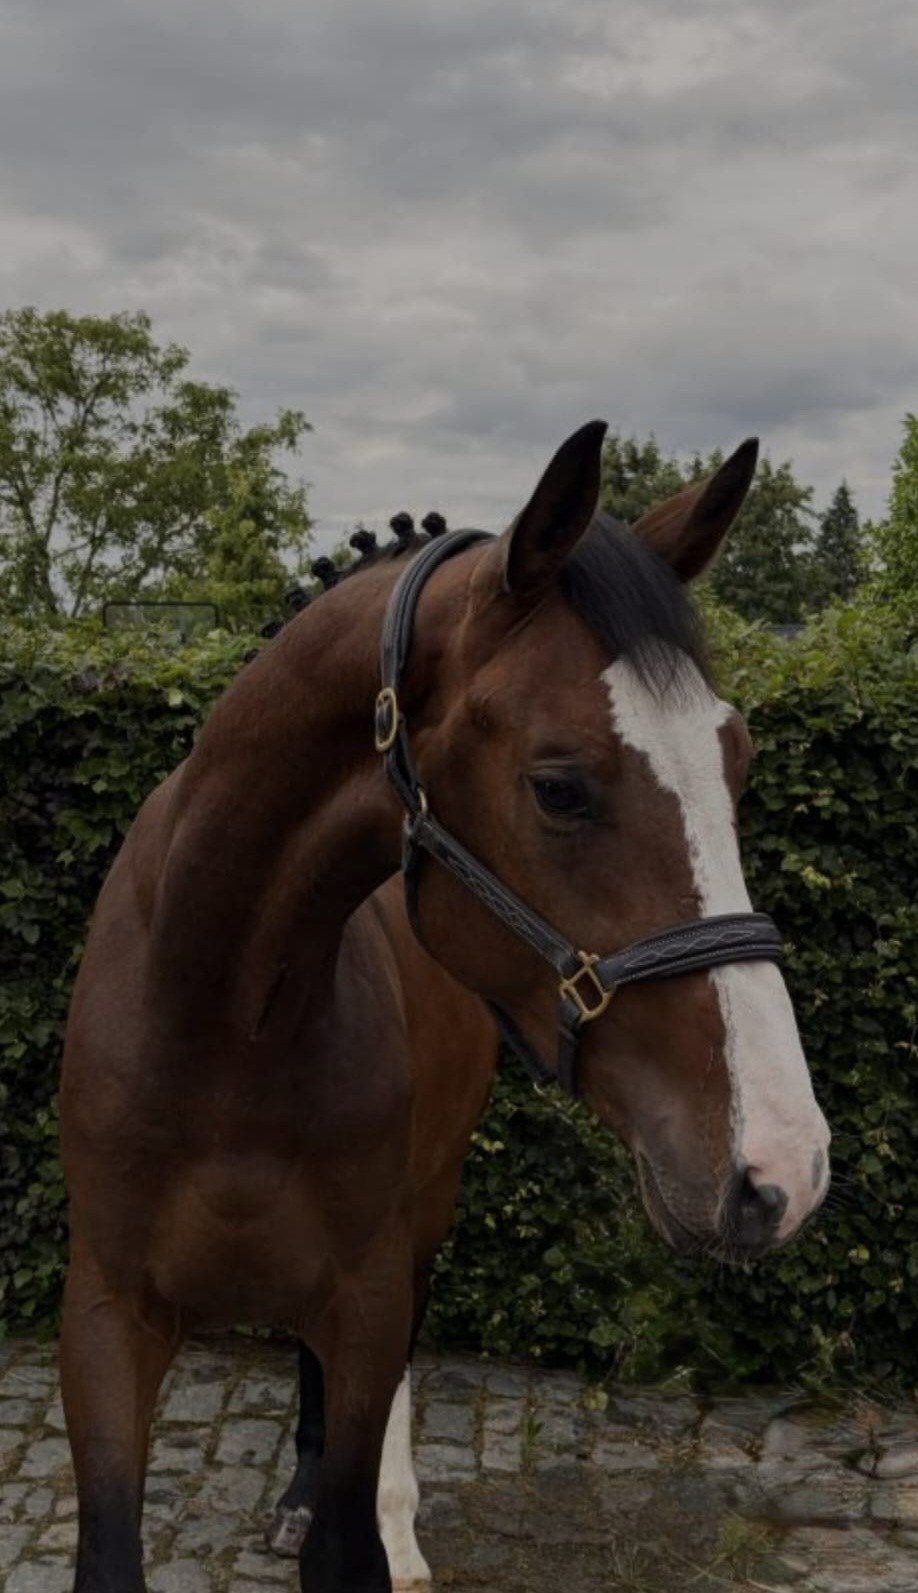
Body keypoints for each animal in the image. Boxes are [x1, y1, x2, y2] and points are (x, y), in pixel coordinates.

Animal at [59, 420, 831, 1593]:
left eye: (736, 761)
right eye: (559, 786)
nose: (780, 1167)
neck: (221, 1023)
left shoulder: (366, 1297)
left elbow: (349, 1522)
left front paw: (369, 1515)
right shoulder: (106, 1317)